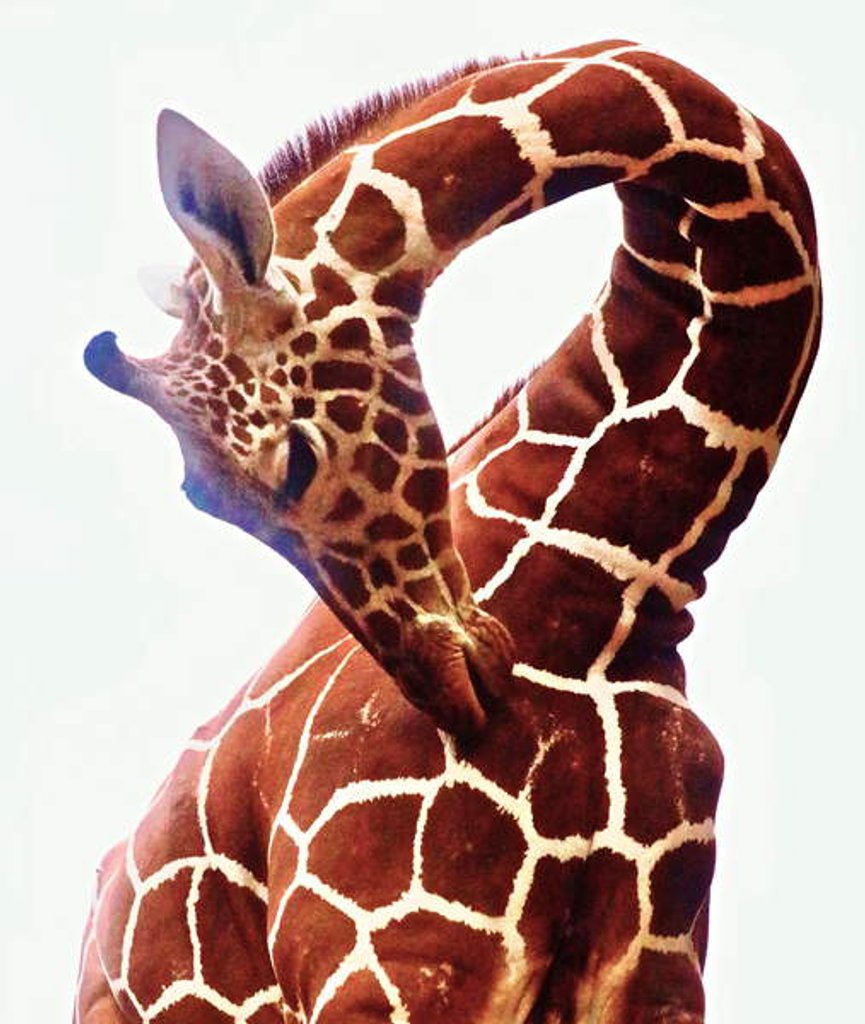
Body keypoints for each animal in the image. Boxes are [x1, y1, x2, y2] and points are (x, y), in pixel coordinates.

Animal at [76, 40, 820, 1024]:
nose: (459, 685)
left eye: (295, 463)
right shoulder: (395, 960)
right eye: (206, 500)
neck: (614, 583)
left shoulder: (657, 968)